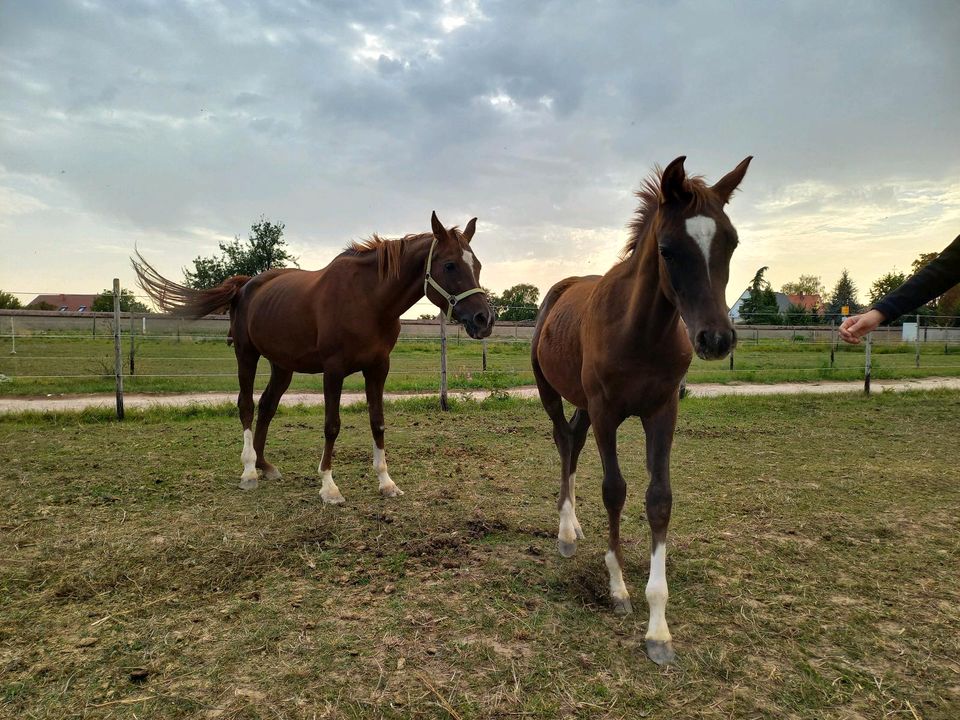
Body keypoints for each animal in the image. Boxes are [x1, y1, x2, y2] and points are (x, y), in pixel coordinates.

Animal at [133, 210, 496, 500]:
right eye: (449, 265)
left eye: (477, 265)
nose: (484, 319)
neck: (367, 299)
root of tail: (245, 285)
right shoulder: (333, 370)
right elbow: (331, 425)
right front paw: (329, 486)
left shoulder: (378, 368)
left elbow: (377, 422)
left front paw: (386, 482)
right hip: (246, 355)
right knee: (247, 405)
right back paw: (249, 471)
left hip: (282, 366)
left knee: (267, 407)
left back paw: (265, 465)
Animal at [532, 156, 752, 664]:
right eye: (668, 249)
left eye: (731, 241)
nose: (716, 338)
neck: (640, 331)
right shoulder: (608, 412)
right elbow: (615, 490)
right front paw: (617, 588)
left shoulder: (662, 411)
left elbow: (659, 499)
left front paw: (658, 630)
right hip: (555, 393)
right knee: (561, 442)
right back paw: (566, 533)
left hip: (585, 406)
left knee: (573, 443)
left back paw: (574, 527)